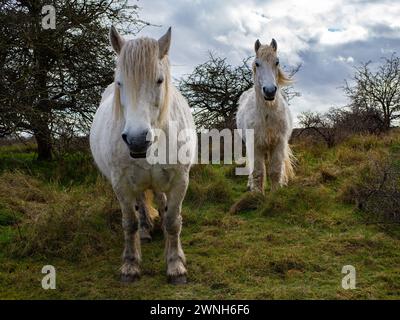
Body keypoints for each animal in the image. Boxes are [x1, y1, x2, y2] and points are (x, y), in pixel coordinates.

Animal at [90, 26, 197, 284]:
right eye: (119, 82)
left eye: (159, 80)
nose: (137, 139)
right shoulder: (121, 184)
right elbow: (129, 224)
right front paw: (130, 265)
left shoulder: (180, 181)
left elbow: (173, 221)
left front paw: (176, 264)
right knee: (141, 204)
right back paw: (146, 230)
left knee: (160, 202)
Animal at [236, 38, 296, 194]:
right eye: (257, 63)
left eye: (277, 62)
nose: (269, 91)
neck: (267, 115)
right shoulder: (255, 144)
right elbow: (258, 171)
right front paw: (257, 194)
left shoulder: (279, 143)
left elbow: (275, 170)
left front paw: (276, 193)